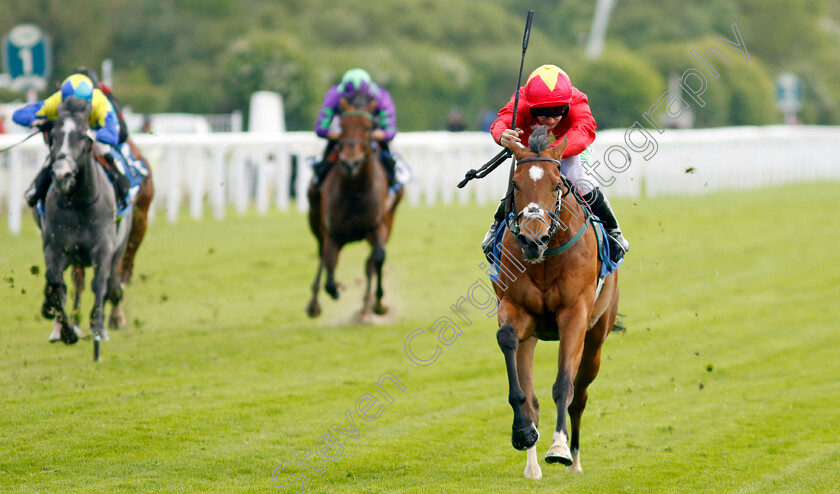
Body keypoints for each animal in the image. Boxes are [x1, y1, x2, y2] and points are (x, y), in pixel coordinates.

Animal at [35, 96, 131, 344]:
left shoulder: (103, 248)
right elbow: (55, 283)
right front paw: (66, 329)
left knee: (107, 283)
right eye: (54, 135)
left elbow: (99, 284)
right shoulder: (55, 247)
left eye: (82, 136)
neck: (78, 204)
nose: (62, 174)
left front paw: (98, 327)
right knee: (73, 284)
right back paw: (64, 327)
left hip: (119, 248)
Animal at [306, 93, 404, 324]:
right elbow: (329, 276)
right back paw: (314, 304)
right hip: (316, 221)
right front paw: (337, 288)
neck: (355, 191)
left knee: (370, 264)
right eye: (342, 126)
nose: (350, 163)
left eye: (368, 127)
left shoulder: (377, 227)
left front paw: (378, 304)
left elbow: (378, 259)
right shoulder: (332, 234)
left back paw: (366, 309)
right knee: (321, 258)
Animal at [492, 126, 624, 478]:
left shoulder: (575, 314)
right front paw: (522, 431)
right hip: (532, 337)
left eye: (555, 185)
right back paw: (532, 466)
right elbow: (507, 340)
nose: (532, 239)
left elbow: (564, 385)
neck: (546, 256)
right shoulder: (516, 309)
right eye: (515, 184)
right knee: (533, 396)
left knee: (580, 396)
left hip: (596, 338)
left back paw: (574, 460)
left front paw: (560, 448)